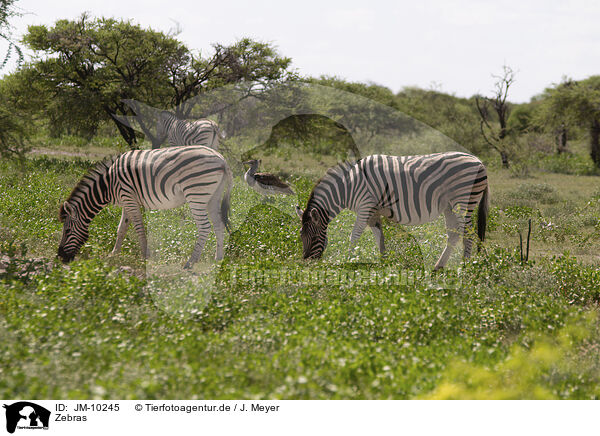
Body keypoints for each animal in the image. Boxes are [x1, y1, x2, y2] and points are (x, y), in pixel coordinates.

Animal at [58, 146, 232, 268]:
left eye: (67, 231)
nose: (60, 257)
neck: (107, 185)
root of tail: (222, 159)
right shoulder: (127, 201)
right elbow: (121, 229)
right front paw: (113, 254)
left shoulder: (129, 198)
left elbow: (139, 227)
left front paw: (145, 256)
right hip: (213, 197)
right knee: (218, 225)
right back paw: (218, 258)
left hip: (196, 193)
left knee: (205, 227)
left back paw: (190, 262)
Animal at [294, 152, 488, 270]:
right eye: (301, 236)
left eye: (314, 237)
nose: (306, 263)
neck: (349, 186)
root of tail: (479, 161)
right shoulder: (373, 212)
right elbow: (379, 237)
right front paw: (384, 262)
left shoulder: (365, 206)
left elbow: (354, 235)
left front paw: (348, 260)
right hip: (449, 207)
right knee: (454, 234)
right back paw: (437, 267)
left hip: (463, 201)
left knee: (468, 234)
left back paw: (465, 267)